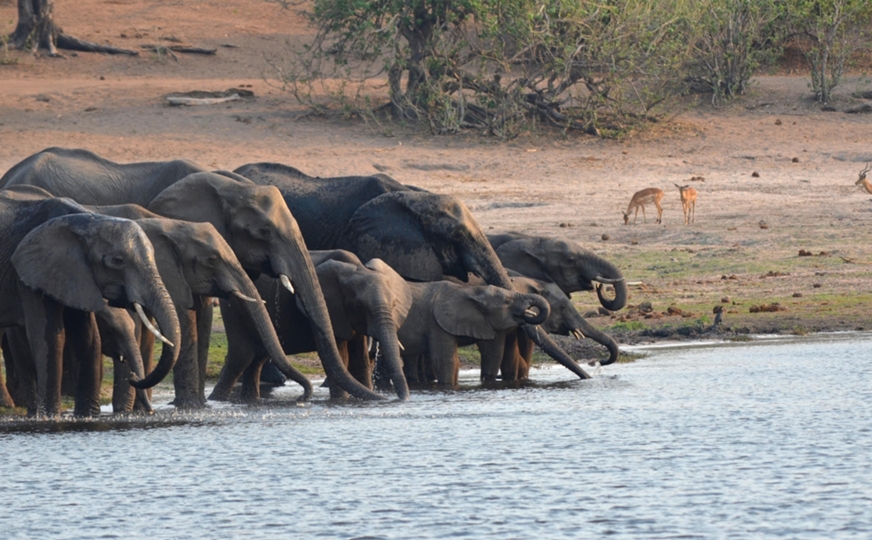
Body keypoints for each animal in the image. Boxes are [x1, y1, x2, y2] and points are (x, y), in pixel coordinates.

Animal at [9, 213, 180, 416]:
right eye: (118, 261)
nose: (133, 376)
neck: (86, 221)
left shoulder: (74, 279)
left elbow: (87, 338)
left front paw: (87, 416)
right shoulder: (34, 272)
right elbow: (48, 338)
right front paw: (50, 417)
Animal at [210, 251, 413, 402]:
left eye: (394, 305)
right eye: (356, 305)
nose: (396, 399)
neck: (357, 268)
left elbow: (360, 359)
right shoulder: (331, 311)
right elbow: (340, 357)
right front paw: (341, 401)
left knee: (256, 360)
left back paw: (249, 401)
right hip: (235, 310)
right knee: (240, 358)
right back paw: (217, 400)